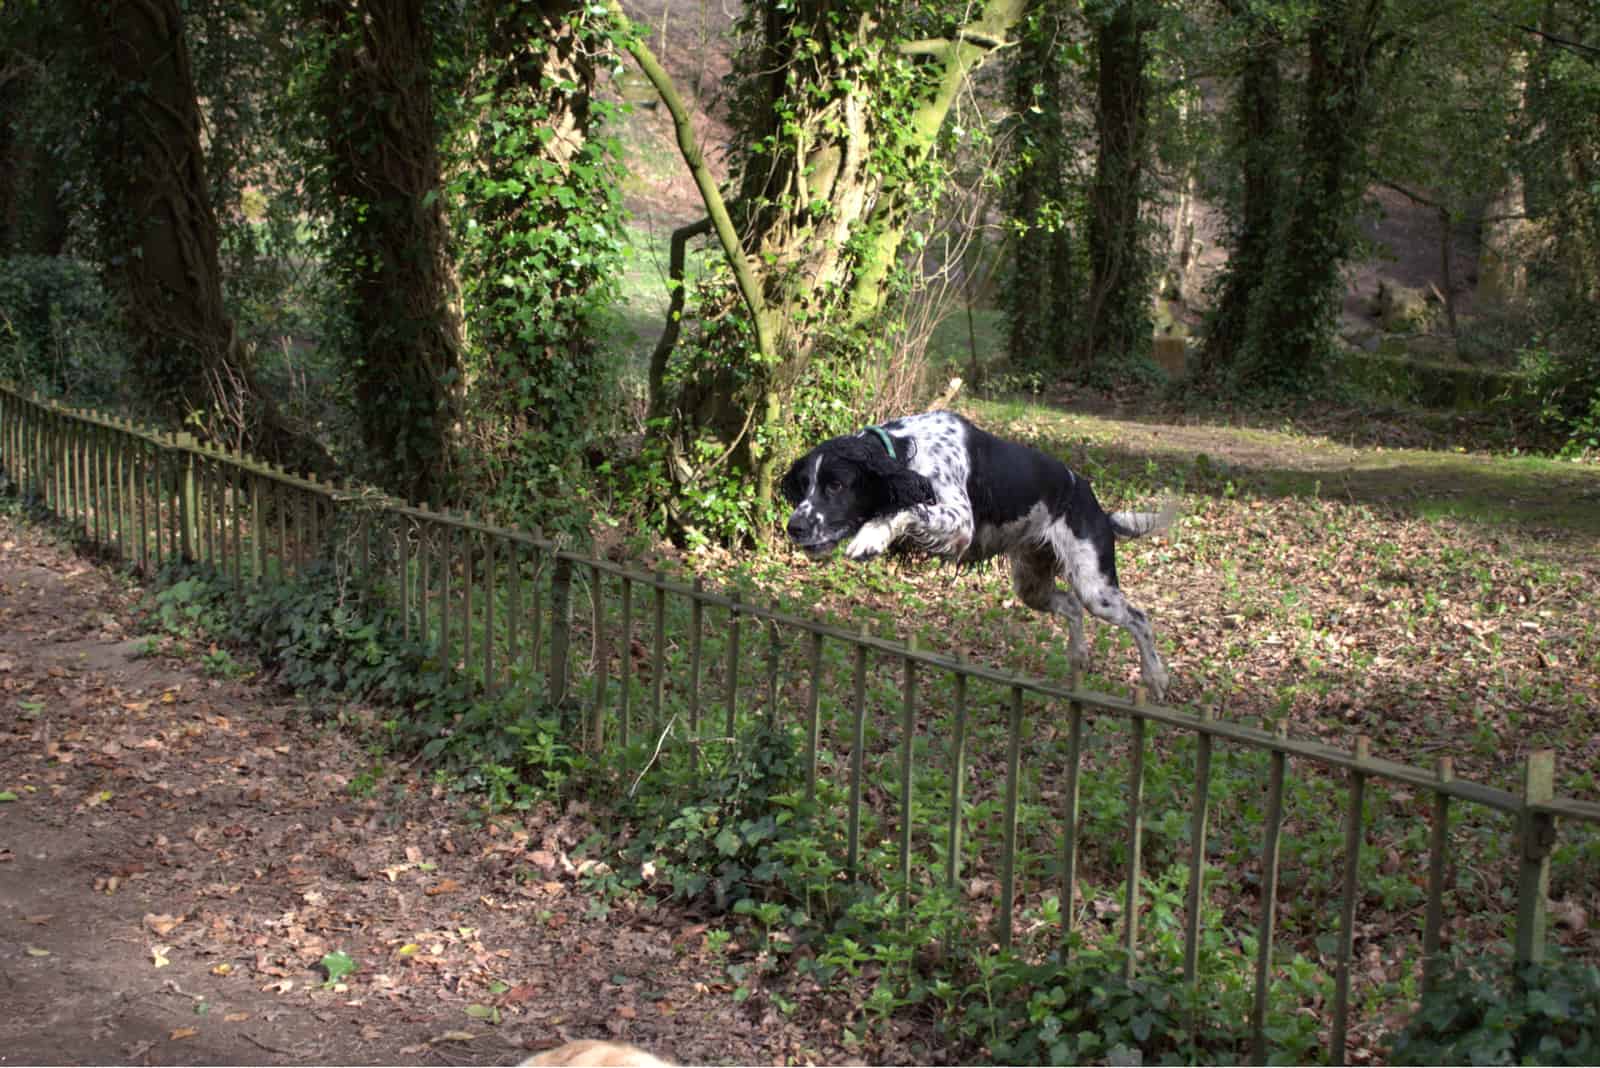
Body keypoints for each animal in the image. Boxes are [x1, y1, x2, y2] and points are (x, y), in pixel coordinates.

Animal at [784, 409, 1177, 700]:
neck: (908, 448)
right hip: (1032, 585)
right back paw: (1078, 655)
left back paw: (1155, 677)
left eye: (836, 485)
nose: (795, 527)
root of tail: (1097, 507)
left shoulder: (960, 522)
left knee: (1139, 618)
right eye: (804, 485)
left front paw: (872, 535)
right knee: (1070, 606)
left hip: (1095, 586)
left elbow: (908, 509)